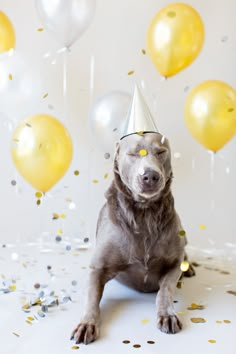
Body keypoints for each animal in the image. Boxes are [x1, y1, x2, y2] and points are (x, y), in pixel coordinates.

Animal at [71, 132, 195, 342]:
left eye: (161, 152)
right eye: (133, 154)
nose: (150, 176)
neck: (144, 214)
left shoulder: (173, 264)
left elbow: (166, 289)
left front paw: (167, 314)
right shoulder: (98, 268)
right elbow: (91, 297)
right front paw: (87, 324)